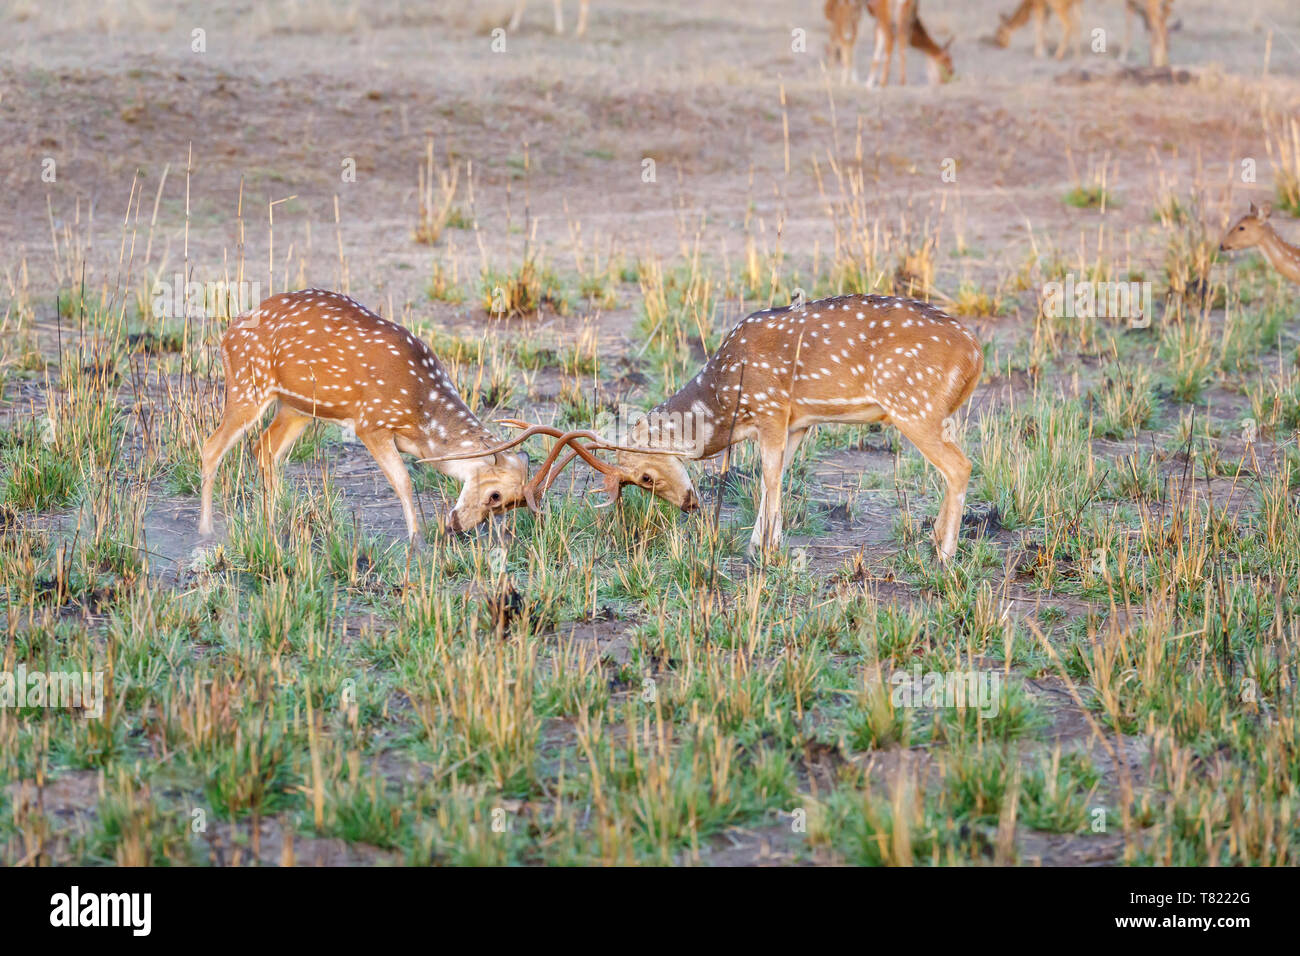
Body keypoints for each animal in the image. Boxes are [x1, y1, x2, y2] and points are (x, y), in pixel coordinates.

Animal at [197, 288, 640, 540]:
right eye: (495, 495)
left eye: (505, 507)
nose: (457, 527)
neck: (421, 411)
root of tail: (226, 332)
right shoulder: (371, 423)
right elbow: (405, 482)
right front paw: (417, 539)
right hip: (248, 385)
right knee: (211, 446)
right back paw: (206, 530)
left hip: (297, 407)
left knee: (265, 450)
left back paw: (273, 527)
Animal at [504, 293, 984, 563]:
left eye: (644, 476)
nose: (689, 505)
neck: (724, 393)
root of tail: (976, 353)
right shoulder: (796, 421)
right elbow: (778, 476)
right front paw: (758, 543)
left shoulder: (771, 409)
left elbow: (769, 478)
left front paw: (768, 549)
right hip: (936, 412)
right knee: (953, 468)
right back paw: (933, 540)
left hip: (913, 406)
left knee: (960, 467)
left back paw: (945, 555)